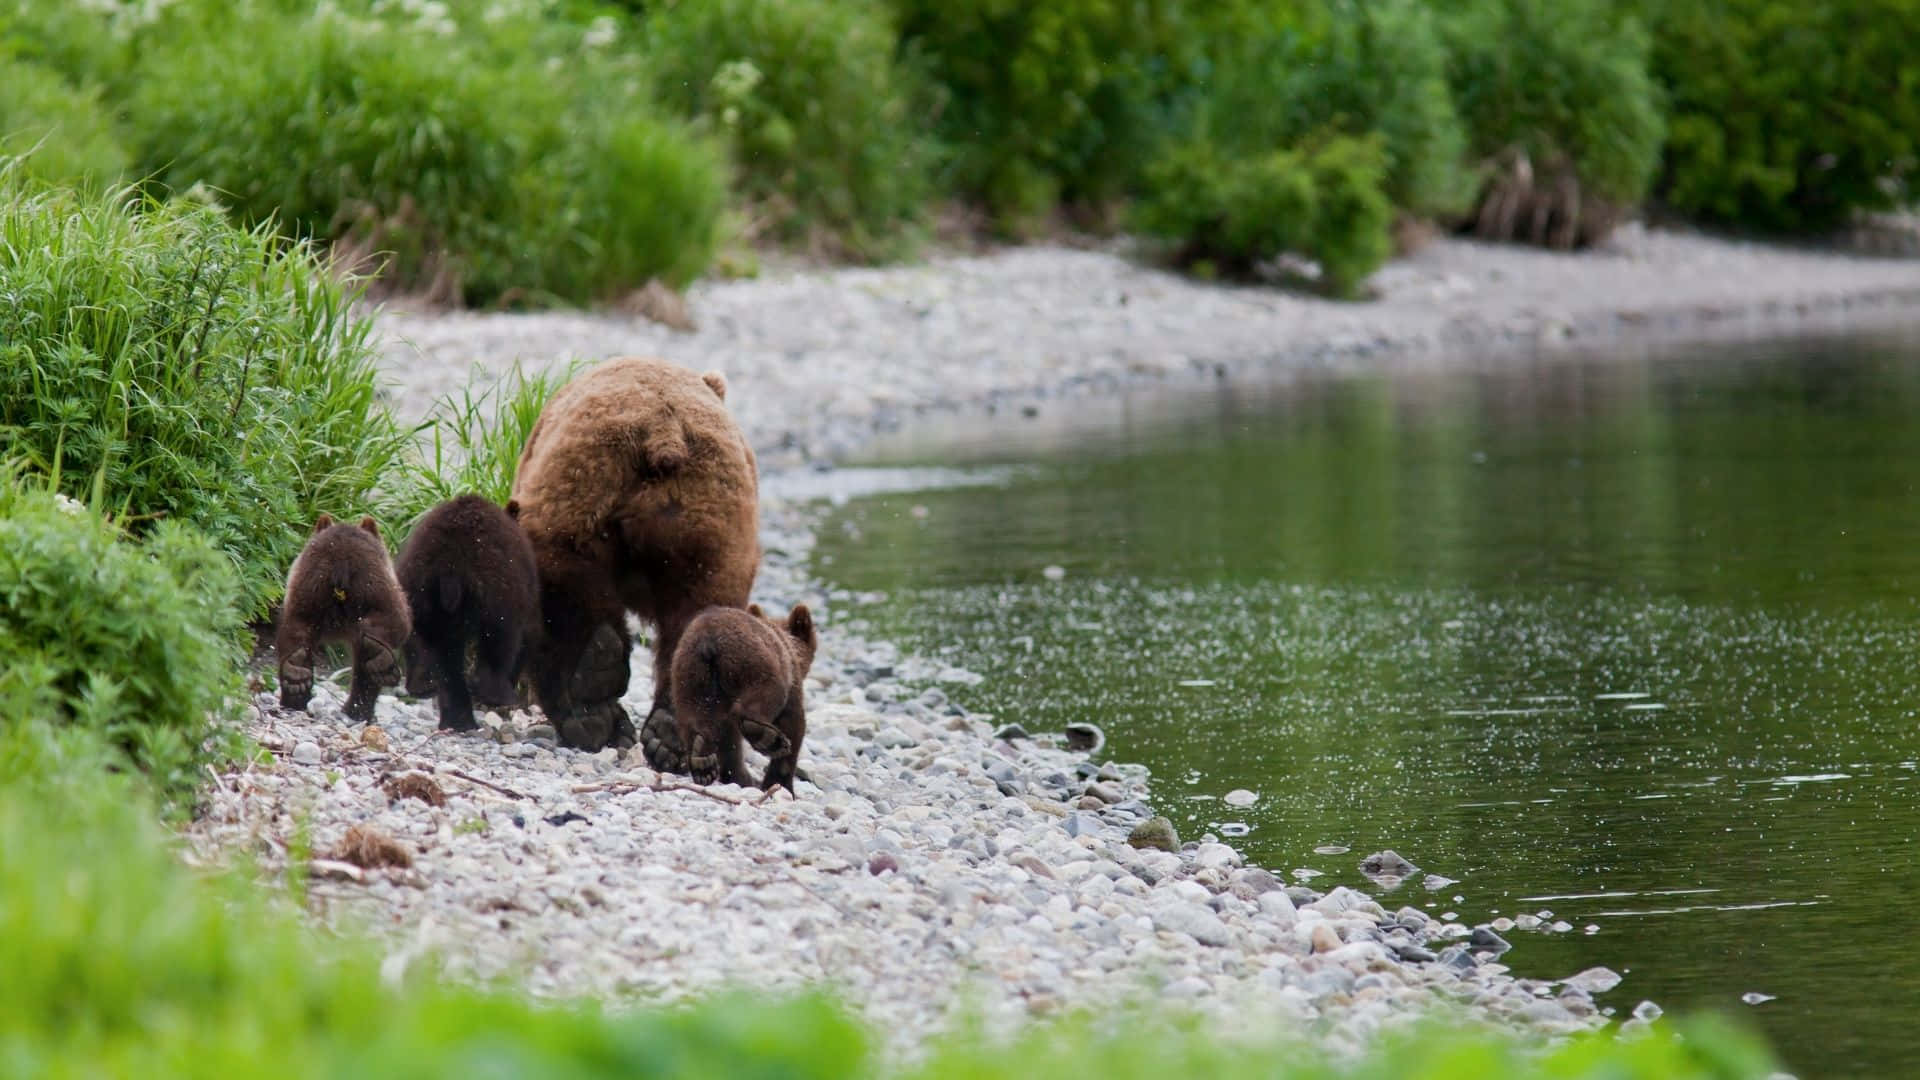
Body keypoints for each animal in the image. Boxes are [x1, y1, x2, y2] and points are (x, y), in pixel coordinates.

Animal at [277, 513, 410, 722]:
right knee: (395, 623)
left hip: (308, 589)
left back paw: (294, 679)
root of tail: (341, 562)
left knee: (295, 629)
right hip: (378, 588)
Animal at [394, 494, 539, 733]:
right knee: (499, 641)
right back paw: (497, 695)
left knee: (437, 654)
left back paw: (443, 705)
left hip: (420, 595)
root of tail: (450, 566)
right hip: (496, 592)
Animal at [508, 356, 761, 754]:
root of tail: (664, 432)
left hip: (579, 489)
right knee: (702, 607)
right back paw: (666, 732)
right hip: (713, 523)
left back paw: (589, 706)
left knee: (564, 589)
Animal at [670, 602, 817, 793]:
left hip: (689, 674)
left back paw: (702, 761)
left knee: (694, 716)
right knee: (764, 695)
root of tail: (708, 638)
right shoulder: (792, 681)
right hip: (751, 662)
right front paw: (782, 784)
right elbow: (794, 723)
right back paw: (766, 737)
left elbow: (729, 738)